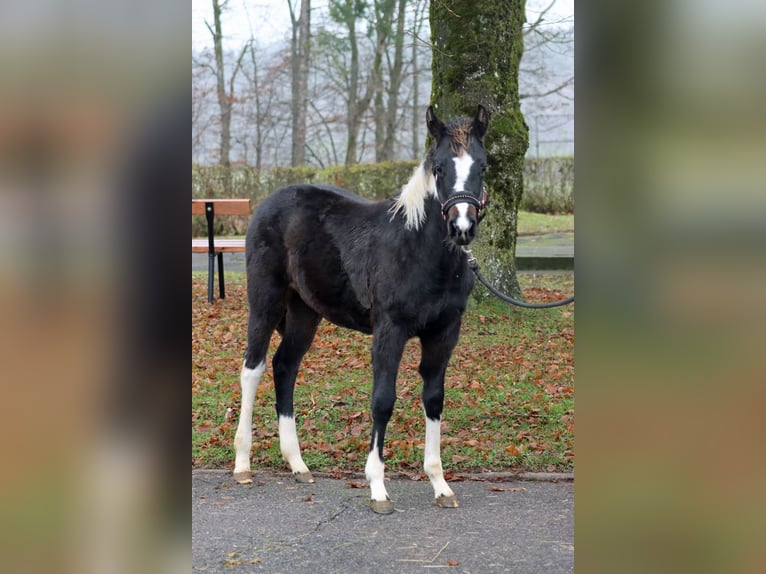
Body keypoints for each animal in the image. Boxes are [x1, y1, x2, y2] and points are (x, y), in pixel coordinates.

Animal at [233, 105, 490, 514]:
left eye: (482, 166)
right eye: (438, 167)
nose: (461, 226)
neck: (418, 249)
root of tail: (269, 203)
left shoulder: (444, 334)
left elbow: (433, 398)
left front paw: (440, 485)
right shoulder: (390, 330)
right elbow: (382, 400)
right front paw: (377, 488)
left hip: (305, 312)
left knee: (285, 366)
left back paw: (298, 464)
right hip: (265, 300)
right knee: (252, 369)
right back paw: (242, 464)